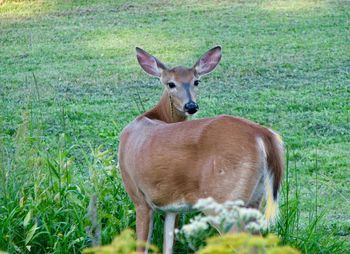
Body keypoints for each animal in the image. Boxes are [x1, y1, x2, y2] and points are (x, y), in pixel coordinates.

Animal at [118, 46, 284, 254]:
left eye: (196, 81)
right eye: (171, 84)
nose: (191, 105)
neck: (154, 116)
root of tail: (262, 133)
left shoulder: (138, 196)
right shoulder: (171, 206)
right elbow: (168, 244)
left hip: (223, 200)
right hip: (255, 198)